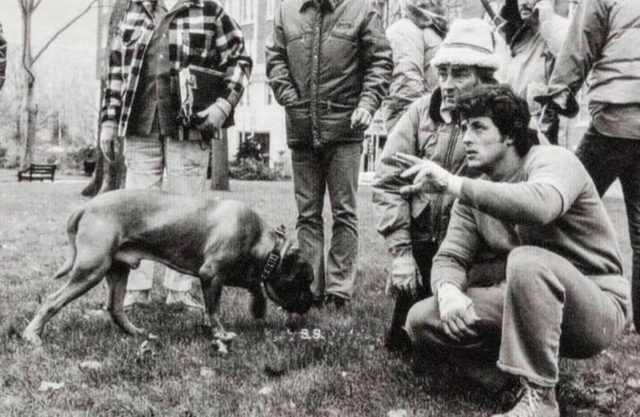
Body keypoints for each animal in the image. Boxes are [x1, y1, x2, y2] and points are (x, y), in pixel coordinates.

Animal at [22, 188, 316, 344]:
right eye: (305, 281)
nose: (314, 300)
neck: (265, 245)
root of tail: (88, 205)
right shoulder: (211, 274)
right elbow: (214, 309)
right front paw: (221, 334)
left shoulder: (233, 273)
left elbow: (254, 285)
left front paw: (257, 308)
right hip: (91, 269)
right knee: (52, 300)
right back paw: (32, 334)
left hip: (118, 269)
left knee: (115, 307)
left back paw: (136, 332)